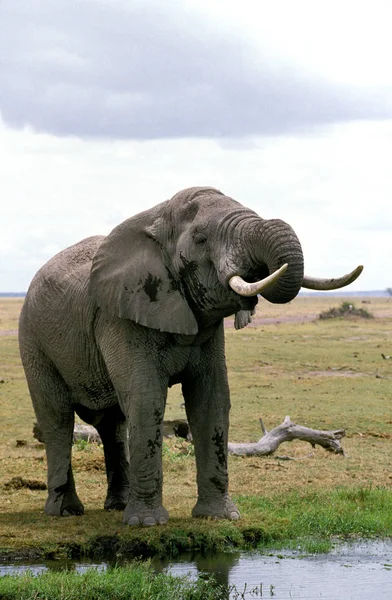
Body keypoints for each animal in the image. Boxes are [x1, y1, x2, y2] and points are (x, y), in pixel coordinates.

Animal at [17, 186, 362, 524]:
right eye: (200, 238)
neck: (156, 217)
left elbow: (212, 399)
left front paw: (220, 517)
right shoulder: (122, 316)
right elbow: (146, 399)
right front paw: (147, 524)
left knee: (112, 426)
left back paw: (117, 506)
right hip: (33, 342)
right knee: (58, 419)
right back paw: (65, 510)